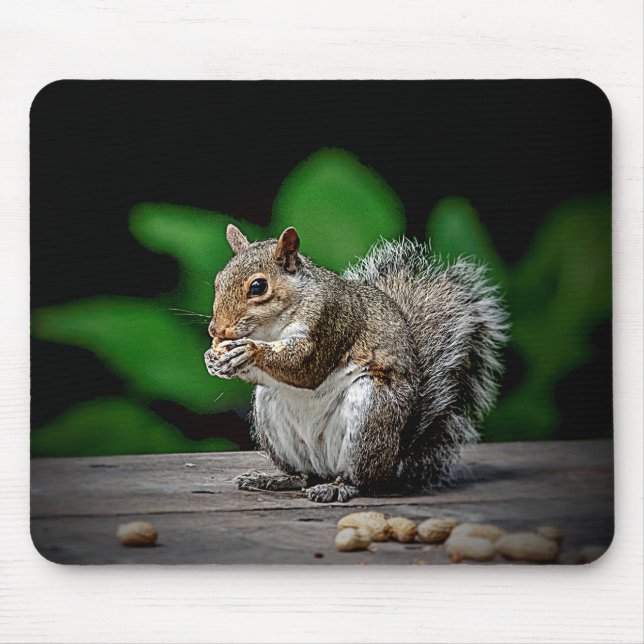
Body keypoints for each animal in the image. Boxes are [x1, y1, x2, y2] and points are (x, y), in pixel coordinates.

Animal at [204, 224, 508, 503]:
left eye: (258, 287)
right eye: (218, 280)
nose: (215, 330)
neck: (270, 329)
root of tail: (395, 457)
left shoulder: (331, 322)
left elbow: (305, 368)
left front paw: (248, 350)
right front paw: (213, 360)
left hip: (370, 413)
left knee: (359, 479)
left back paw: (338, 487)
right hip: (271, 413)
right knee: (303, 474)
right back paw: (275, 479)